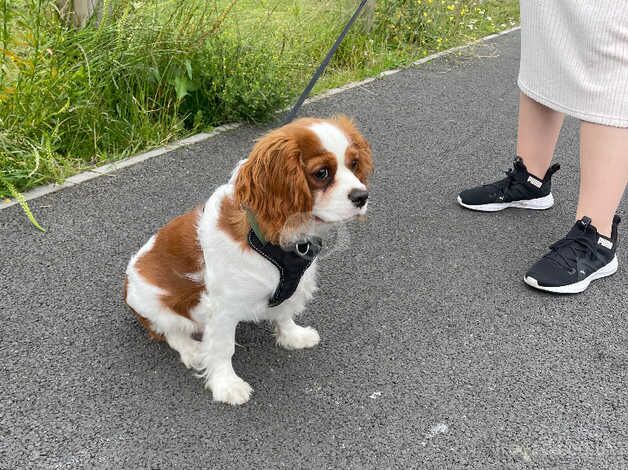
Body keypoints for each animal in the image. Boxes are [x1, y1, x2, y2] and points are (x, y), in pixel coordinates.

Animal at [125, 116, 376, 404]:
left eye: (354, 164)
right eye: (322, 173)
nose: (362, 196)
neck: (270, 238)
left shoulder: (291, 286)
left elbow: (284, 314)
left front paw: (292, 336)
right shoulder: (222, 307)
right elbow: (222, 348)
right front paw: (226, 384)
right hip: (156, 305)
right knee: (169, 331)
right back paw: (192, 350)